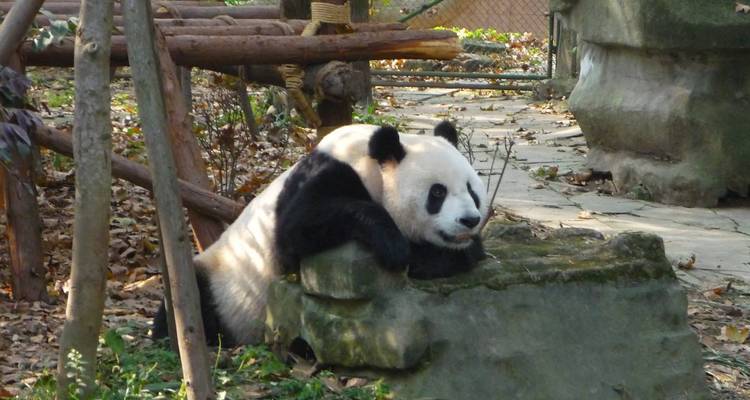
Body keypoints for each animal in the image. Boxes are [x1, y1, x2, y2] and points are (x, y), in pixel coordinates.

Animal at [152, 121, 489, 346]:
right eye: (437, 193)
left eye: (472, 190)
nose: (469, 220)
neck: (369, 162)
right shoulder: (326, 176)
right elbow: (298, 227)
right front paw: (396, 246)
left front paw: (457, 253)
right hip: (220, 282)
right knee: (190, 298)